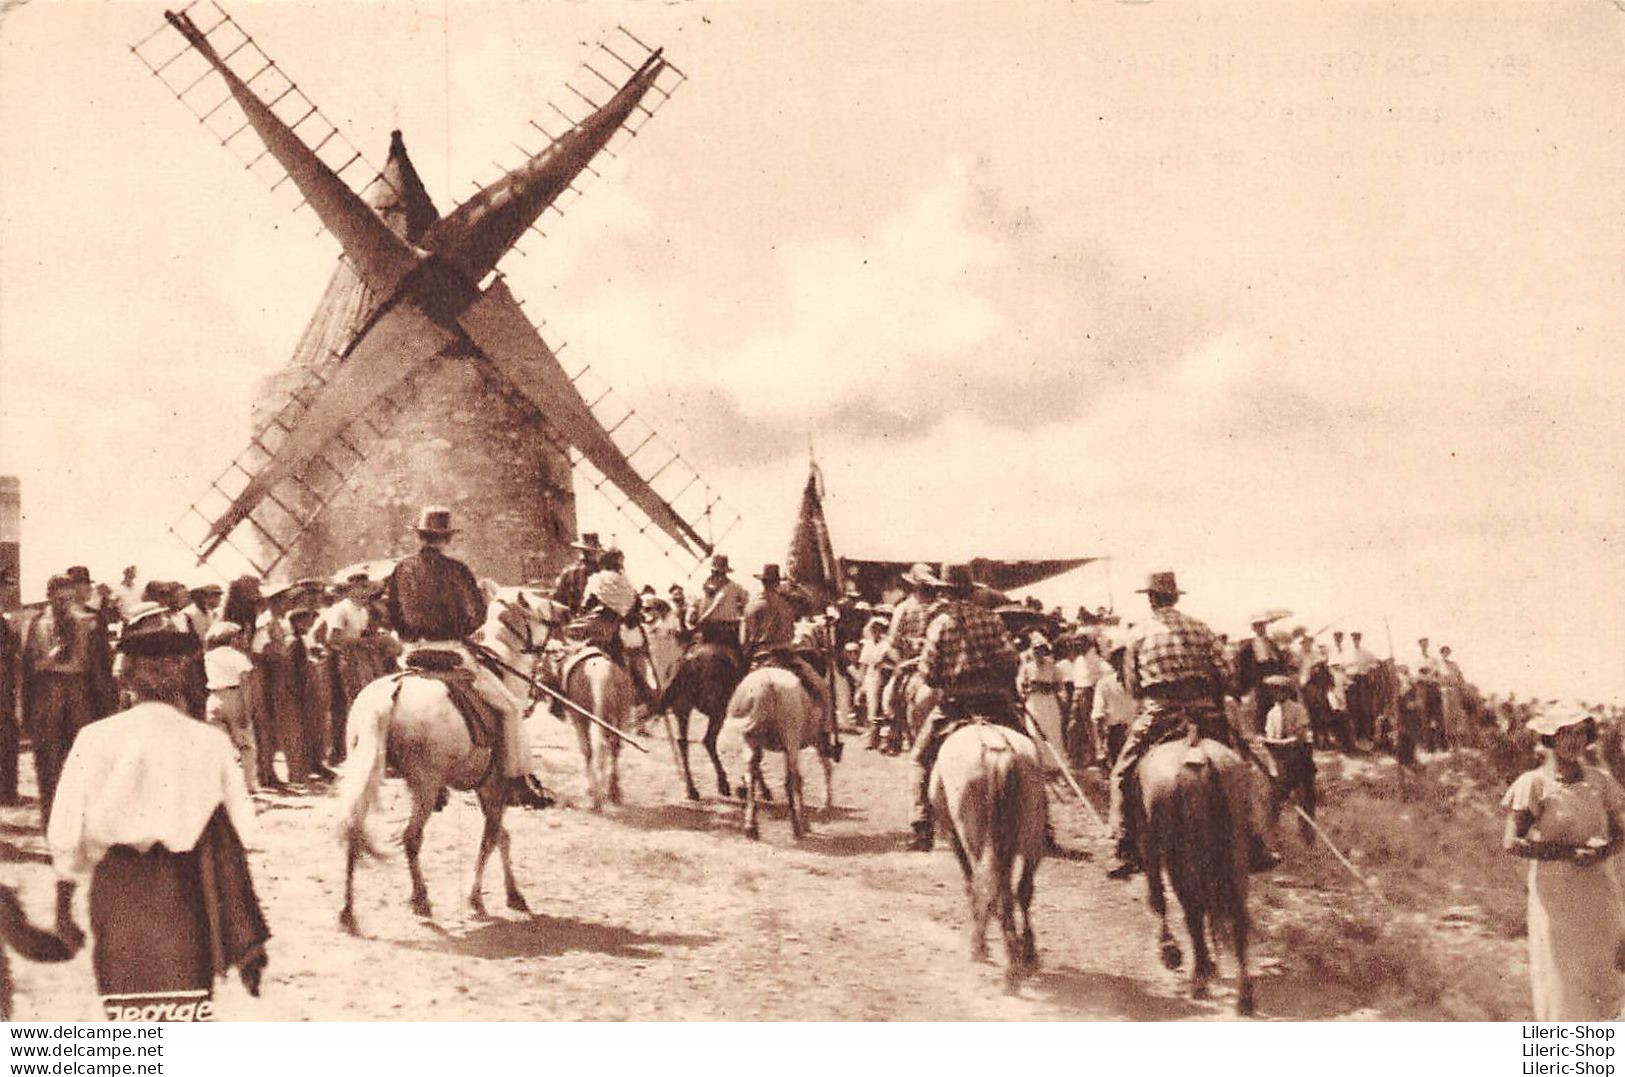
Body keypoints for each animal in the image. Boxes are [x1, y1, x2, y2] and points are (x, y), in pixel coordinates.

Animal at [333, 591, 555, 935]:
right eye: (545, 616)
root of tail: (394, 690)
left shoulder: (486, 789)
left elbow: (501, 837)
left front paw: (512, 895)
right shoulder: (493, 787)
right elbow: (491, 838)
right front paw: (477, 899)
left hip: (365, 773)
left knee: (354, 829)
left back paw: (348, 912)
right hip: (425, 786)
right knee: (411, 837)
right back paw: (420, 899)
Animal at [653, 643, 744, 805]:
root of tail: (684, 665)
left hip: (683, 707)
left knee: (683, 741)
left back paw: (692, 790)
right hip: (716, 710)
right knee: (708, 740)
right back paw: (721, 785)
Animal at [929, 721, 1040, 987]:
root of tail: (998, 751)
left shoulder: (954, 836)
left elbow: (972, 883)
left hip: (977, 839)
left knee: (989, 886)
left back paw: (987, 949)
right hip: (1030, 841)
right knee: (1021, 890)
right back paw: (1026, 953)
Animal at [1137, 737, 1261, 1013]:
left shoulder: (1151, 847)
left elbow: (1158, 898)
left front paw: (1170, 951)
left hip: (1179, 859)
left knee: (1192, 913)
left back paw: (1199, 979)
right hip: (1235, 855)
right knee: (1237, 917)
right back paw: (1244, 995)